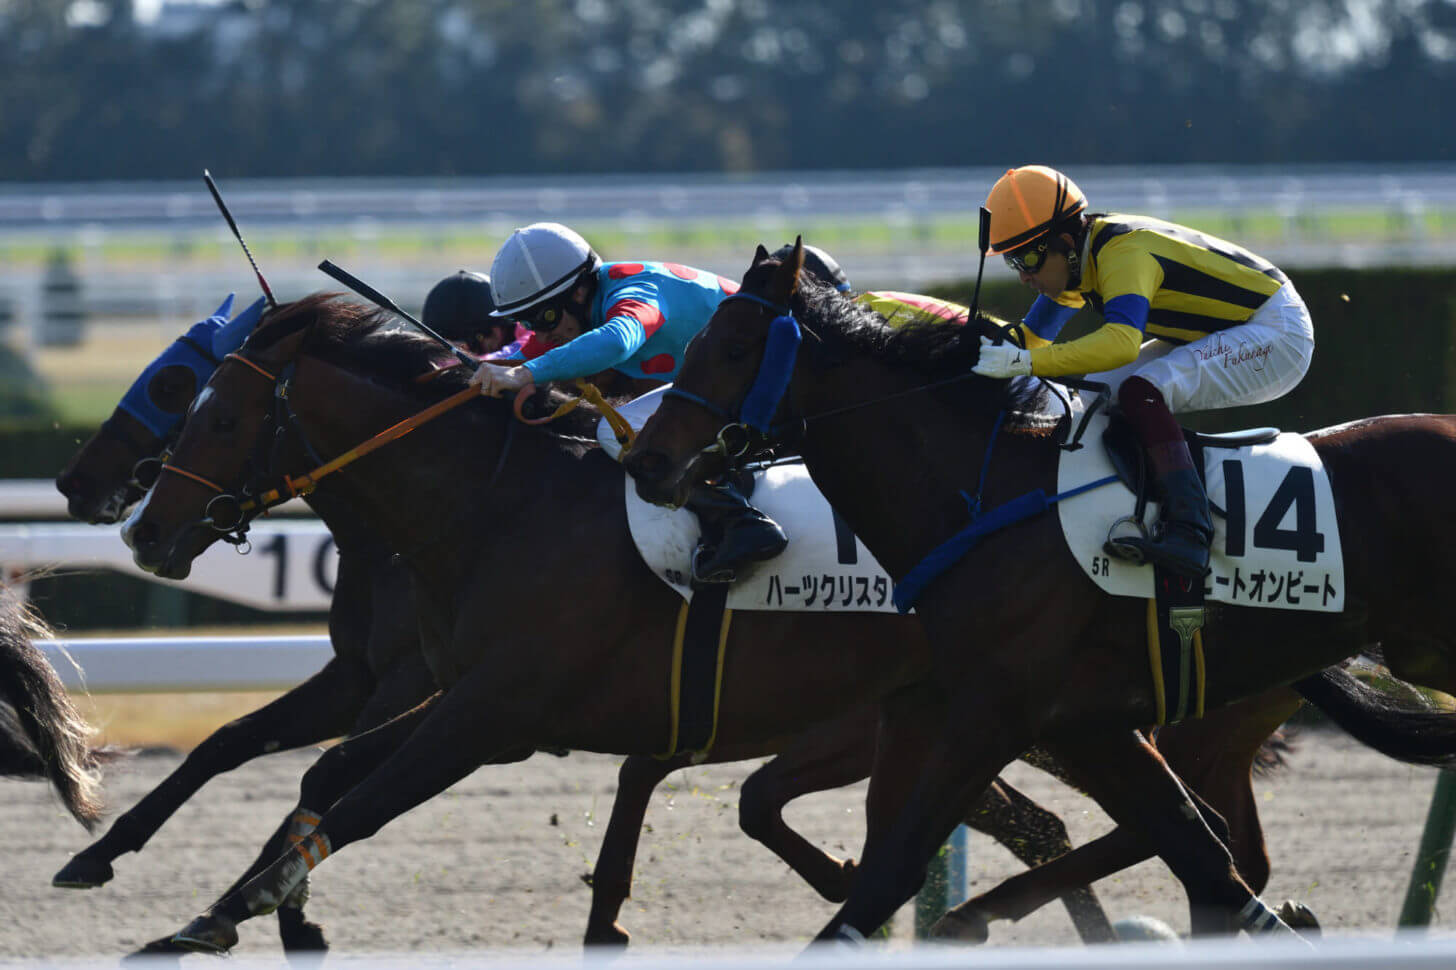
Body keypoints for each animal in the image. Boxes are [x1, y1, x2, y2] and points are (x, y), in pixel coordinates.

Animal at [626, 241, 1456, 943]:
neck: (983, 492)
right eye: (694, 344)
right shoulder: (1082, 721)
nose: (645, 460)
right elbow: (1202, 856)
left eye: (734, 346)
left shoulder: (995, 710)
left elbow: (891, 870)